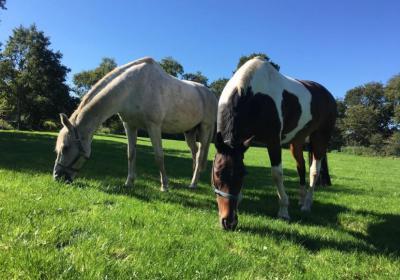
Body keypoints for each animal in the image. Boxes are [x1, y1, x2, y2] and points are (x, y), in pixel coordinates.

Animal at [53, 57, 217, 191]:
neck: (134, 87)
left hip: (205, 128)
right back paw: (193, 180)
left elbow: (159, 156)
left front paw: (164, 186)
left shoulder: (153, 126)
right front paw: (129, 182)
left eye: (65, 147)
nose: (57, 177)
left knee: (200, 155)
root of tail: (210, 94)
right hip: (189, 132)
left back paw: (193, 184)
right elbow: (131, 154)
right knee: (195, 153)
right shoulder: (130, 125)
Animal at [212, 56, 338, 230]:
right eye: (217, 173)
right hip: (296, 142)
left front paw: (284, 210)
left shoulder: (273, 142)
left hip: (320, 138)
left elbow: (277, 174)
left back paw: (307, 204)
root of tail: (328, 95)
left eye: (242, 174)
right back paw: (301, 199)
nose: (228, 222)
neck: (253, 95)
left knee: (314, 171)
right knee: (301, 167)